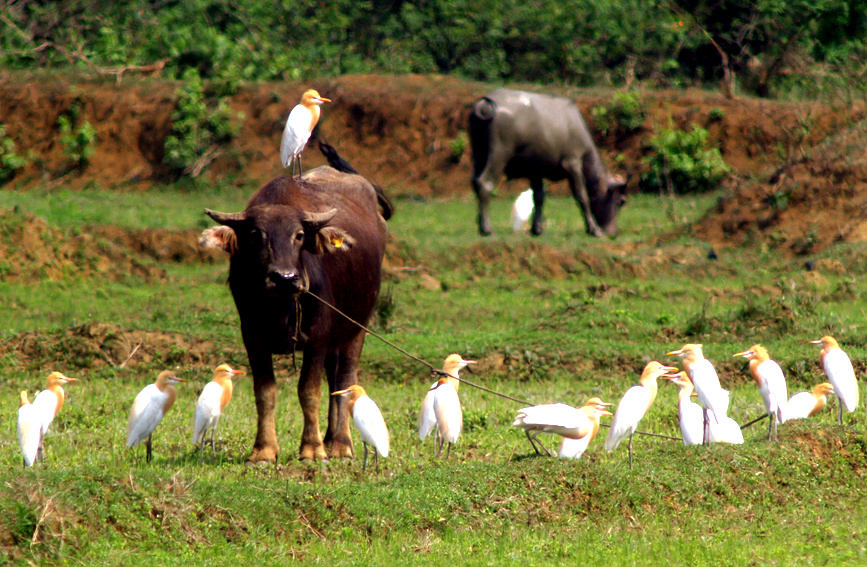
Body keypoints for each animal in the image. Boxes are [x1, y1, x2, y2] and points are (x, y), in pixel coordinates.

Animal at [202, 163, 388, 462]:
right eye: (256, 235)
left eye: (299, 235)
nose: (285, 278)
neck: (281, 306)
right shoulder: (253, 338)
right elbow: (264, 392)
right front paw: (264, 450)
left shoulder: (317, 338)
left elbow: (308, 391)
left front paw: (312, 449)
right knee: (334, 379)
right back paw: (330, 439)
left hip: (358, 325)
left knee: (346, 378)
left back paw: (341, 444)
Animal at [468, 88, 624, 237]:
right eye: (621, 201)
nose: (613, 233)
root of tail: (486, 101)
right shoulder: (573, 163)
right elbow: (582, 196)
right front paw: (594, 229)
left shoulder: (535, 170)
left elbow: (539, 197)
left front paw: (537, 229)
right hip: (499, 153)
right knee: (485, 183)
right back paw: (487, 229)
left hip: (478, 154)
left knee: (475, 182)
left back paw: (480, 225)